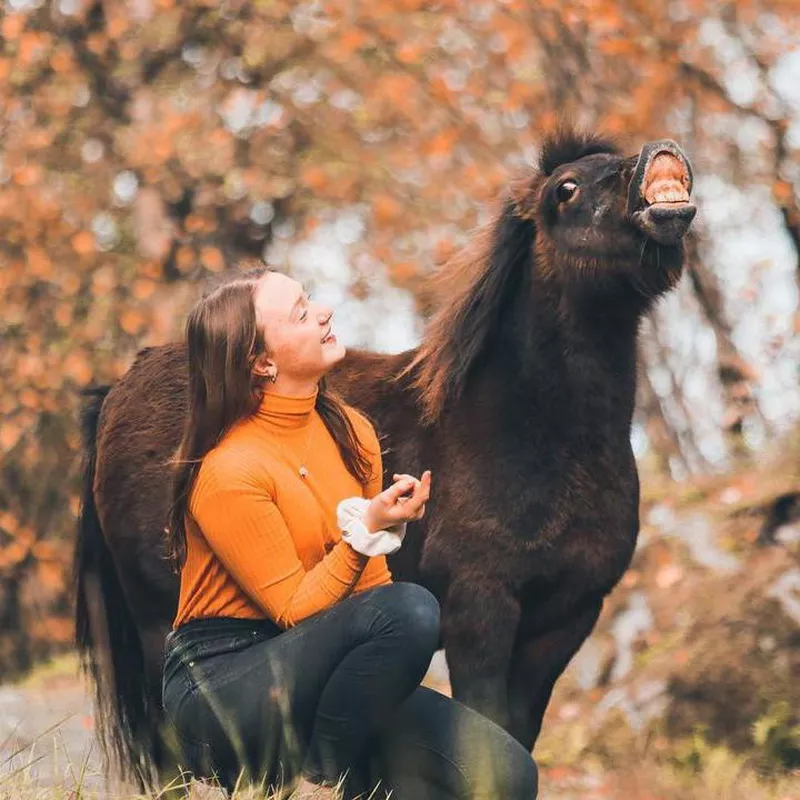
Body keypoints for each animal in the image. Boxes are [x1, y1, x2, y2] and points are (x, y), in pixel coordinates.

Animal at [78, 131, 696, 788]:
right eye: (567, 188)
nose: (658, 156)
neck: (537, 433)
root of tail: (116, 390)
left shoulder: (564, 621)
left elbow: (518, 732)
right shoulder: (481, 608)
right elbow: (487, 732)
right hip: (157, 627)